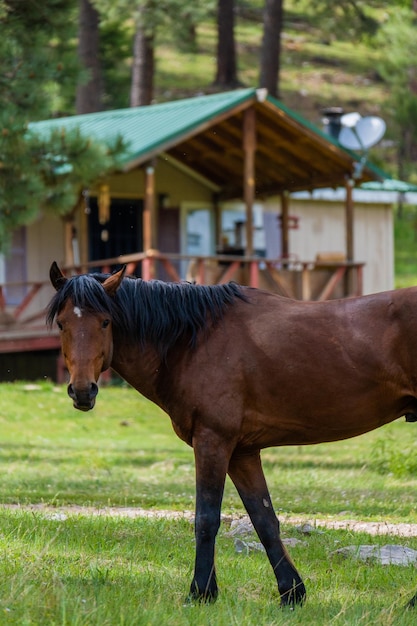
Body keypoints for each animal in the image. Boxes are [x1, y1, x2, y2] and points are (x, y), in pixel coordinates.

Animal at [47, 260, 416, 608]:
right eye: (63, 324)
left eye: (105, 322)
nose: (83, 391)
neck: (193, 339)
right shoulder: (242, 453)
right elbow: (264, 520)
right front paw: (291, 593)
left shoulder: (213, 441)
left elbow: (206, 519)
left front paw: (200, 592)